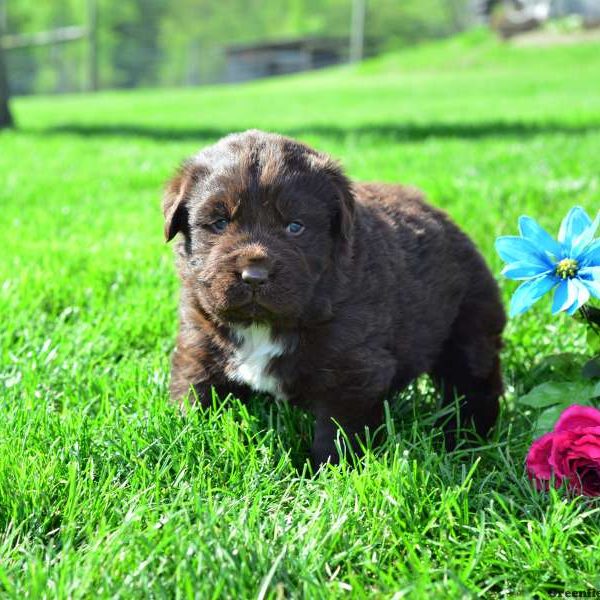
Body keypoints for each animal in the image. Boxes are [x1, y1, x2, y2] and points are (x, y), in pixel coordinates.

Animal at [162, 131, 504, 466]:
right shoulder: (199, 341)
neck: (264, 325)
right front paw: (185, 435)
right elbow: (194, 394)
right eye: (219, 223)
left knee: (474, 384)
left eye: (295, 227)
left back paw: (463, 437)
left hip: (469, 323)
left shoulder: (353, 373)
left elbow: (337, 433)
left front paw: (328, 472)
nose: (254, 276)